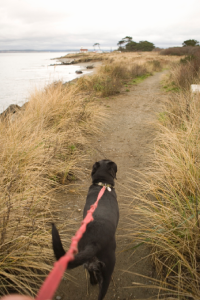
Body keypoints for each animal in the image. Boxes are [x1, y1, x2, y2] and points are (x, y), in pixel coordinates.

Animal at [51, 159, 119, 300]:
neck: (102, 185)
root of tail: (93, 243)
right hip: (107, 272)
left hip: (88, 264)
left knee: (91, 274)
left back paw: (92, 281)